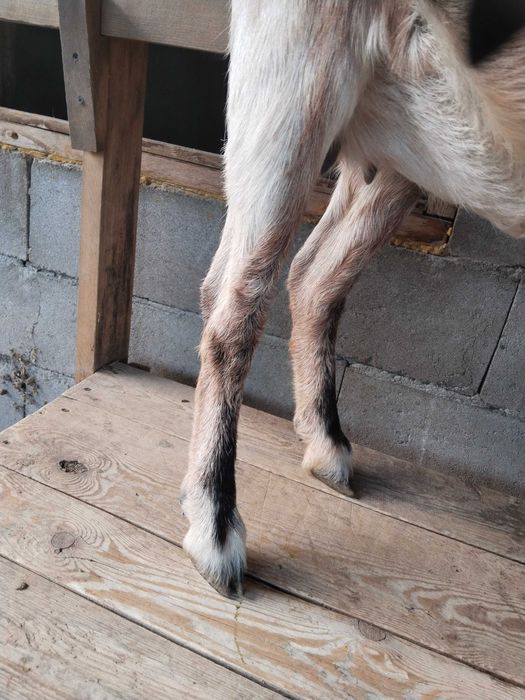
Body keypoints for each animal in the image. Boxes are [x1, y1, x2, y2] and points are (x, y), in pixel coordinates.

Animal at [181, 0, 525, 598]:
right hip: (298, 82)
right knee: (234, 306)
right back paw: (215, 530)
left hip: (410, 145)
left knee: (311, 277)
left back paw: (326, 447)